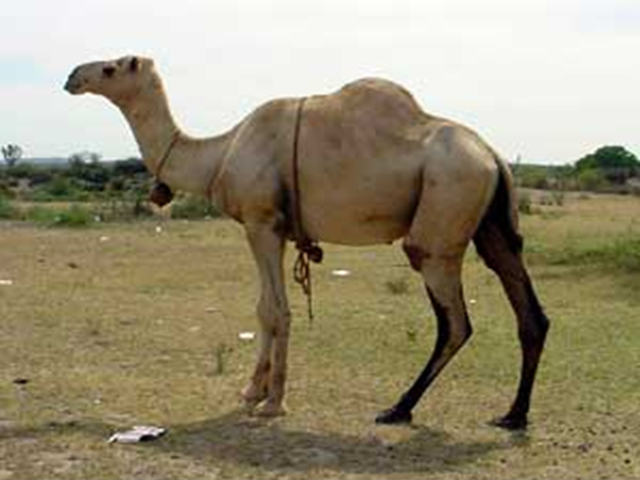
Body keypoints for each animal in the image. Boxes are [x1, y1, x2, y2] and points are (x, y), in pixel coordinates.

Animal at [64, 55, 549, 429]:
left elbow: (274, 310)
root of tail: (491, 154)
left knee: (454, 321)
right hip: (492, 222)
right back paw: (513, 415)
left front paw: (271, 402)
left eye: (109, 68)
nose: (71, 76)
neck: (220, 152)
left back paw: (398, 408)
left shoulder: (261, 222)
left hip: (443, 214)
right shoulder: (278, 230)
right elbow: (263, 308)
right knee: (527, 305)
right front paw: (252, 392)